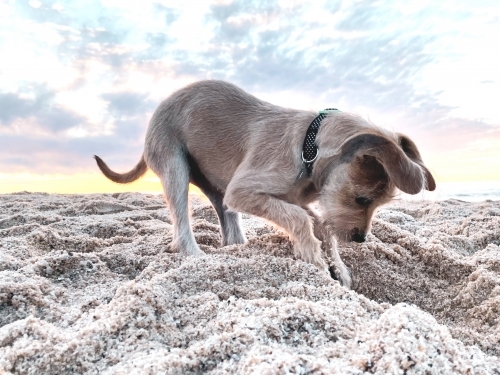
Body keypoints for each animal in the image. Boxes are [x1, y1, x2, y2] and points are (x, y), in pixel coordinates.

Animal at [95, 81, 436, 290]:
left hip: (215, 185)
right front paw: (314, 261)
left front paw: (338, 268)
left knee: (228, 222)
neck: (308, 146)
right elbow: (302, 220)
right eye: (362, 199)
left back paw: (237, 250)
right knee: (181, 222)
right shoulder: (246, 190)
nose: (361, 239)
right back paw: (196, 257)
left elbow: (319, 224)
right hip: (175, 164)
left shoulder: (294, 197)